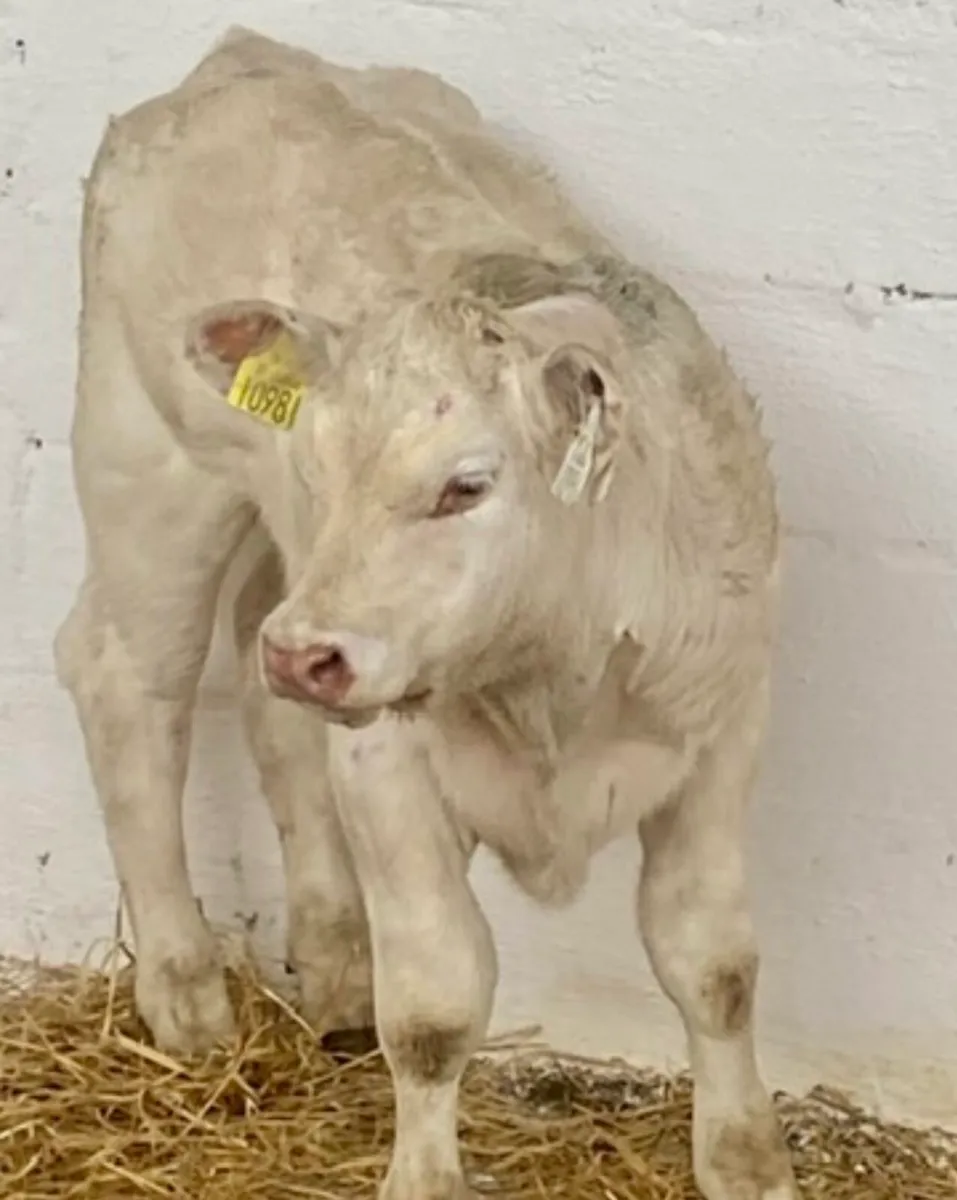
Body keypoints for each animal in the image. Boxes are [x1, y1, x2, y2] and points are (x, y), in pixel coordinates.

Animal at [54, 26, 797, 1200]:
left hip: (276, 576)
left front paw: (746, 1159)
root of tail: (243, 56)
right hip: (149, 469)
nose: (310, 654)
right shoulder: (391, 766)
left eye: (465, 485)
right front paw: (423, 1171)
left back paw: (332, 967)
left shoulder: (723, 726)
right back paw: (185, 989)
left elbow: (711, 961)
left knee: (267, 713)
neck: (548, 675)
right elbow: (439, 1004)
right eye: (316, 462)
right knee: (128, 684)